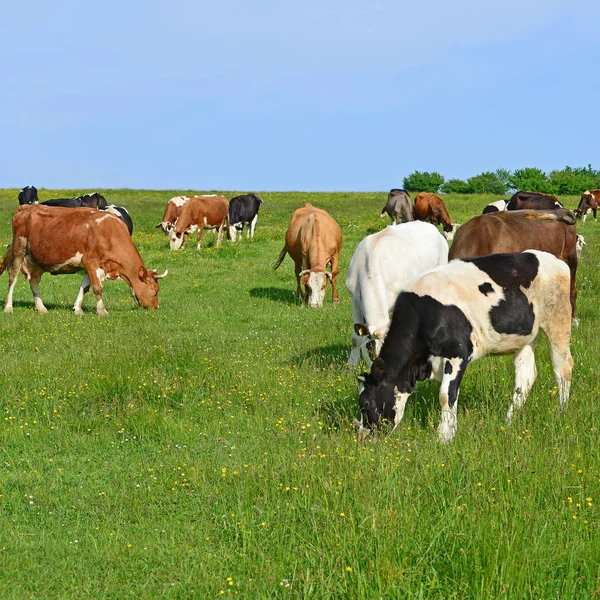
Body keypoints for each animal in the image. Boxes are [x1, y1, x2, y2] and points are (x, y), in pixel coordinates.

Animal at [0, 205, 166, 316]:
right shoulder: (90, 261)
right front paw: (102, 311)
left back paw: (41, 308)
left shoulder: (91, 265)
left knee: (33, 281)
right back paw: (8, 307)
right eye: (154, 291)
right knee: (13, 277)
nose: (156, 308)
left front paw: (78, 309)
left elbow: (85, 288)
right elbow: (97, 288)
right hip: (19, 249)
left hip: (35, 260)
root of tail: (27, 206)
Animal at [354, 251, 576, 442]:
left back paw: (562, 412)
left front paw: (444, 437)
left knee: (562, 367)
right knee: (525, 379)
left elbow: (446, 395)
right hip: (525, 339)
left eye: (364, 404)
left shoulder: (458, 353)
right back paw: (508, 421)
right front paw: (449, 431)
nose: (363, 437)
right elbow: (452, 395)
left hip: (558, 319)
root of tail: (550, 259)